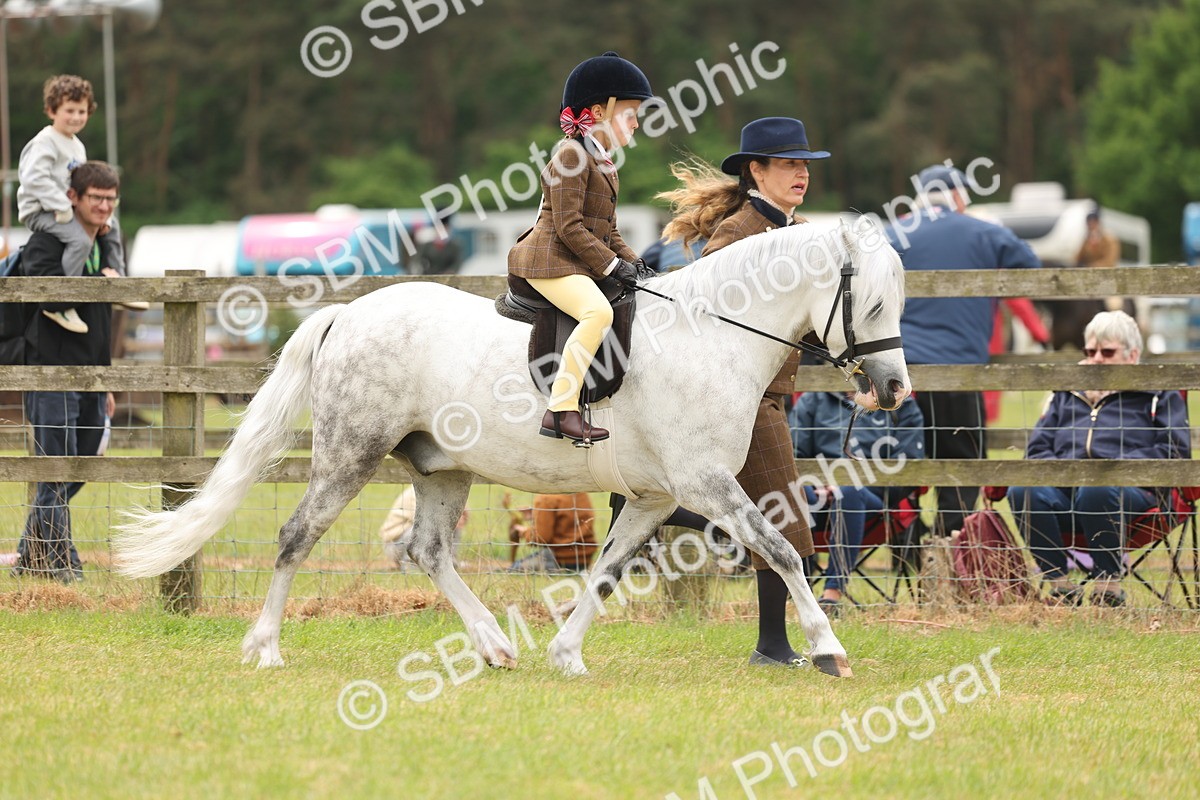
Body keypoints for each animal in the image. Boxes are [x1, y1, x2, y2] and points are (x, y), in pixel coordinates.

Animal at [114, 219, 911, 678]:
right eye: (871, 304)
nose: (894, 388)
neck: (710, 334)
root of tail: (347, 313)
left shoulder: (656, 498)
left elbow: (608, 572)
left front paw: (565, 654)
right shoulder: (706, 483)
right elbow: (782, 552)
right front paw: (830, 650)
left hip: (443, 470)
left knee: (428, 552)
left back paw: (494, 645)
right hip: (349, 456)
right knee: (296, 536)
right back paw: (267, 648)